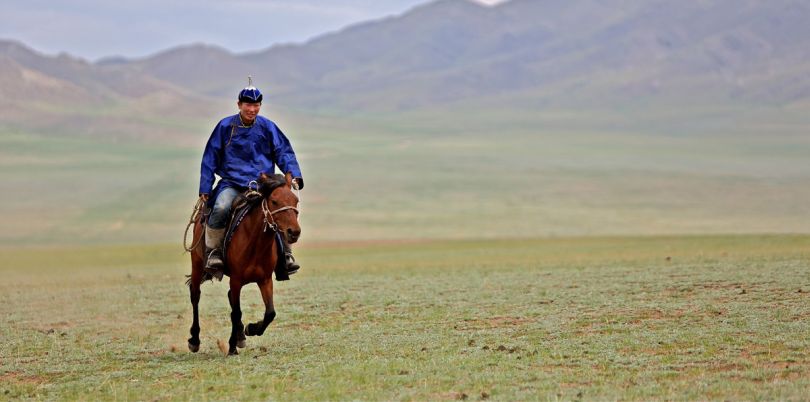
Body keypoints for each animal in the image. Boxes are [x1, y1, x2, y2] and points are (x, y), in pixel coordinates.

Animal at [185, 172, 300, 354]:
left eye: (295, 201)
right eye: (274, 201)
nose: (294, 232)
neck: (256, 243)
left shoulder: (265, 280)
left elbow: (270, 312)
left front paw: (251, 329)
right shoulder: (236, 279)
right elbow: (236, 312)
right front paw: (232, 346)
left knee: (229, 297)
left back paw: (240, 335)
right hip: (197, 265)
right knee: (195, 296)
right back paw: (194, 340)